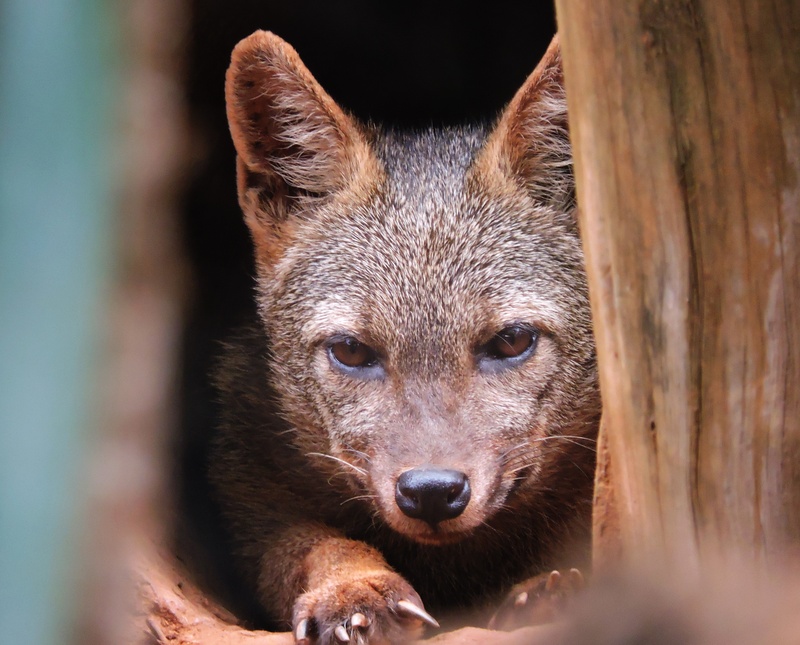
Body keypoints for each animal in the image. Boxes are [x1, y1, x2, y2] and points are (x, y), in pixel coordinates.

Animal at [212, 30, 600, 644]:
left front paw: (553, 591)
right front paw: (352, 587)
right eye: (351, 351)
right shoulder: (252, 498)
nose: (432, 491)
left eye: (512, 341)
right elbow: (316, 546)